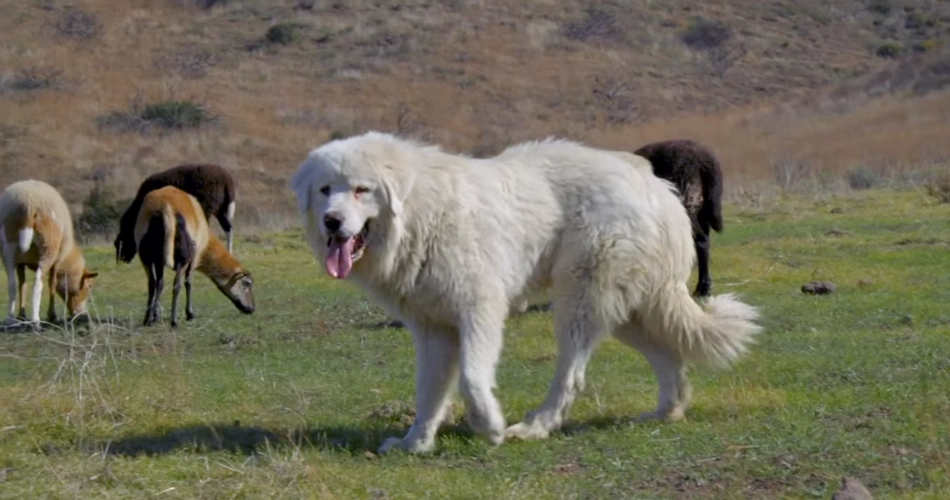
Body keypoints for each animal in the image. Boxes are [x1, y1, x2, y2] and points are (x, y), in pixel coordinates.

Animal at [0, 180, 98, 324]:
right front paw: (52, 315)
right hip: (48, 248)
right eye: (89, 285)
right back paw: (36, 319)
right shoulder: (57, 262)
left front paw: (21, 315)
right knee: (37, 283)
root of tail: (28, 203)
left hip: (7, 248)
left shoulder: (20, 263)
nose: (82, 315)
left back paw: (10, 318)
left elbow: (22, 286)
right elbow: (52, 284)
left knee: (12, 283)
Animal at [134, 186, 255, 326]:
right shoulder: (194, 259)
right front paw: (190, 314)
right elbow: (189, 283)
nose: (252, 309)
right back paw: (174, 321)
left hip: (146, 254)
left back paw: (148, 319)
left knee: (153, 284)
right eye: (247, 283)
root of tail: (165, 207)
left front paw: (155, 315)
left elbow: (160, 283)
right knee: (176, 285)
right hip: (182, 256)